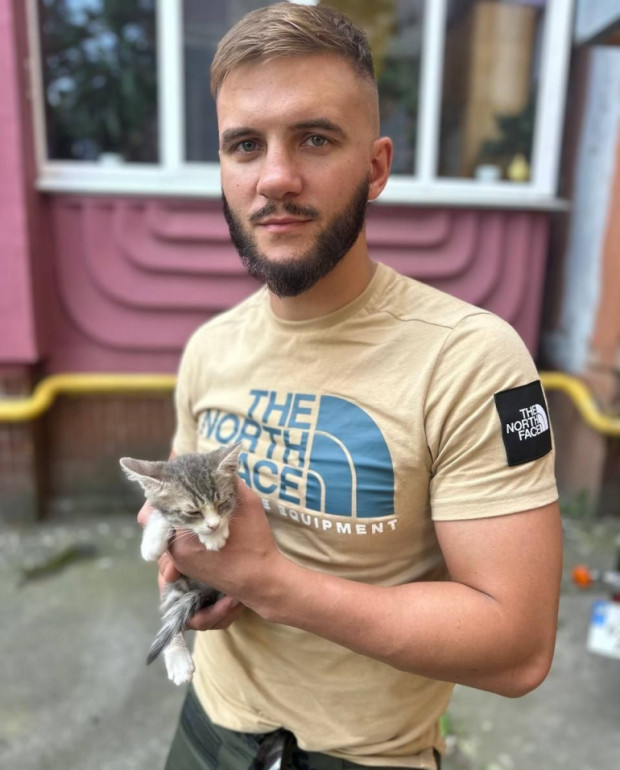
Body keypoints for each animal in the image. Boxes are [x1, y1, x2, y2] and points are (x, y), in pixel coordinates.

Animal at [120, 443, 241, 685]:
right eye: (193, 512)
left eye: (222, 503)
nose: (213, 526)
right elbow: (162, 513)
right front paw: (152, 541)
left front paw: (217, 535)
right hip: (176, 583)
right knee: (172, 612)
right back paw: (177, 657)